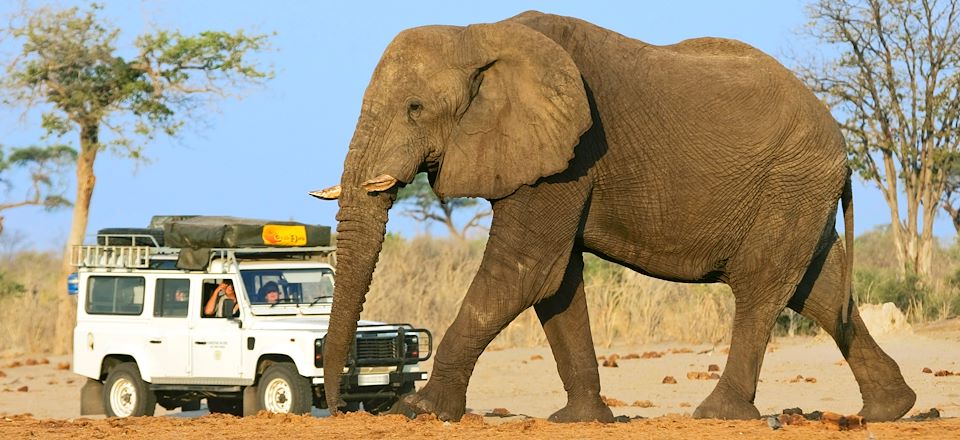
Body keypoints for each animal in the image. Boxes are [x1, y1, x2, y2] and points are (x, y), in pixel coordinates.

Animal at [312, 10, 920, 422]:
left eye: (415, 109)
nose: (340, 409)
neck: (480, 32)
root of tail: (839, 141)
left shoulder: (571, 153)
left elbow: (523, 269)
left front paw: (420, 411)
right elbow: (556, 282)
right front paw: (580, 420)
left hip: (791, 181)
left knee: (762, 285)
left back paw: (717, 414)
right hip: (799, 190)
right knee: (818, 287)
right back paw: (890, 409)